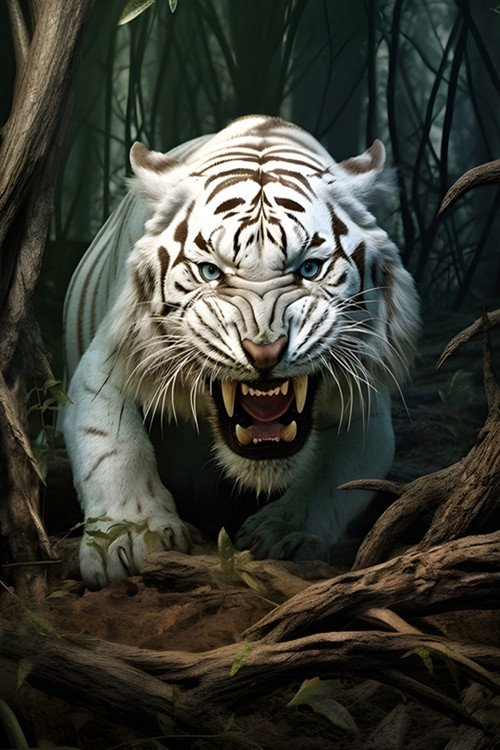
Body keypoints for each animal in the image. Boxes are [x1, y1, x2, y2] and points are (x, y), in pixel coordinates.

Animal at [63, 115, 419, 590]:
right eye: (211, 271)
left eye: (309, 268)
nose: (264, 351)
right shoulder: (105, 365)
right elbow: (113, 446)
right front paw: (131, 539)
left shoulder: (363, 404)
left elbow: (334, 474)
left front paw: (284, 532)